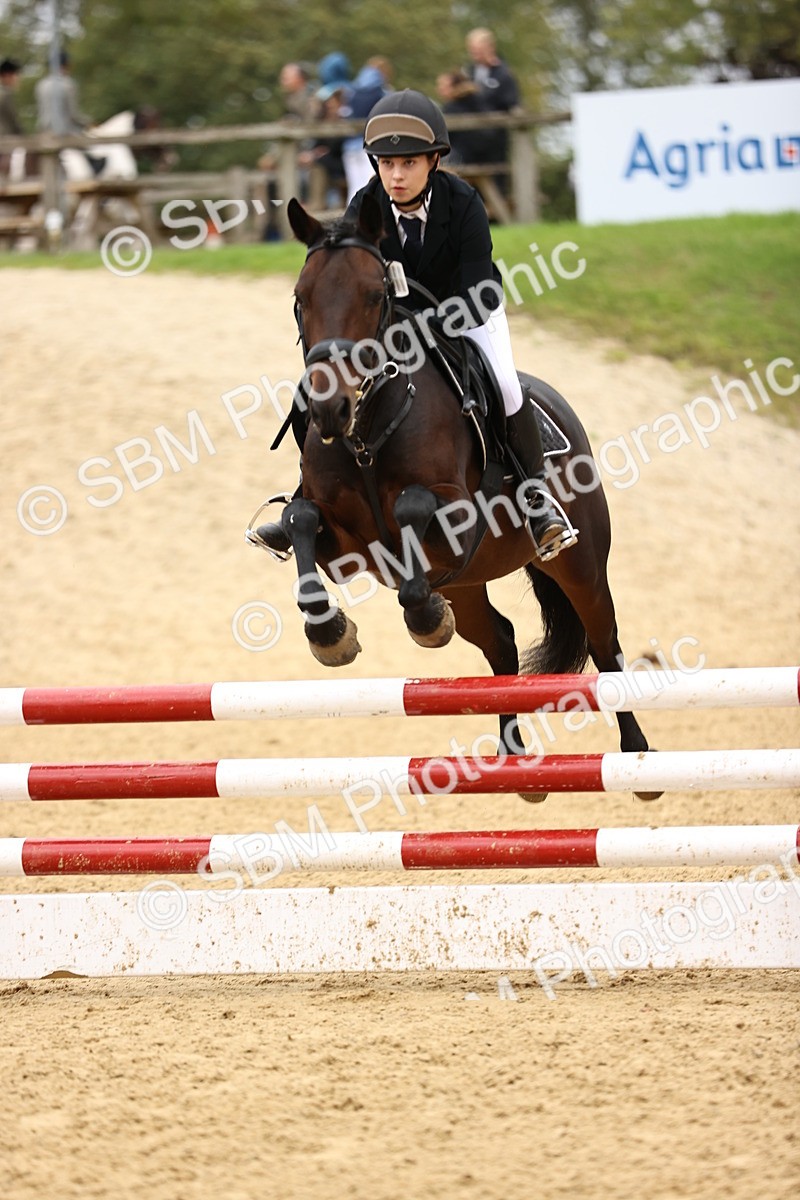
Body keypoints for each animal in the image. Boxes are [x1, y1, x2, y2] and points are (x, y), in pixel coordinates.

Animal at [257, 194, 660, 802]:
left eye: (374, 295)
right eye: (300, 299)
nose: (329, 409)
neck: (368, 433)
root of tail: (557, 405)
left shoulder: (457, 520)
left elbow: (410, 507)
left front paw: (423, 619)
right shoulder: (343, 546)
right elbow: (300, 517)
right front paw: (330, 634)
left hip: (580, 562)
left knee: (604, 640)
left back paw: (637, 756)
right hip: (466, 587)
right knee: (501, 642)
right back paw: (515, 760)